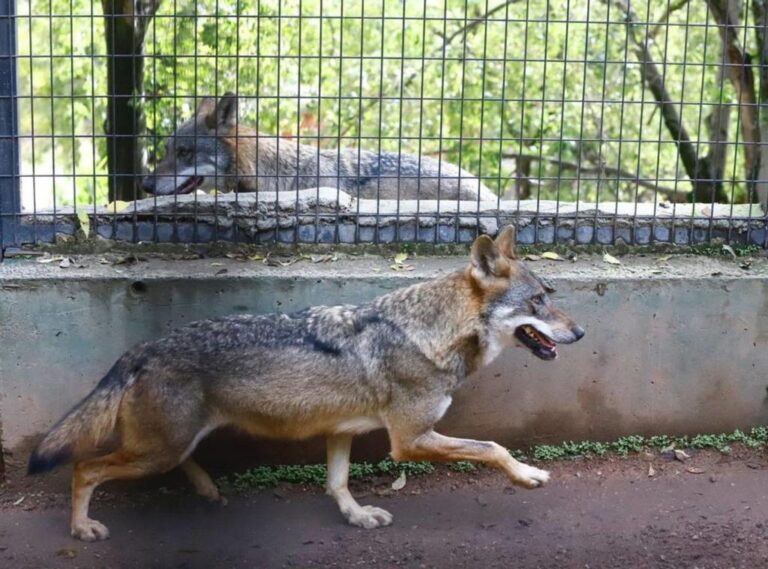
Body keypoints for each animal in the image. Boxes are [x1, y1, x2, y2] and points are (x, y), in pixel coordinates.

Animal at [28, 226, 584, 541]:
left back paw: (208, 490)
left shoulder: (340, 431)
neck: (430, 332)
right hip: (155, 452)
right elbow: (493, 447)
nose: (580, 333)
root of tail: (140, 349)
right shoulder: (408, 441)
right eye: (538, 302)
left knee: (174, 463)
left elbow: (337, 483)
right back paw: (81, 528)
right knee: (84, 468)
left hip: (173, 444)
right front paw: (526, 476)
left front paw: (357, 518)